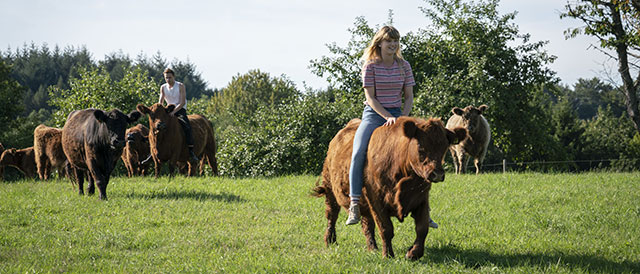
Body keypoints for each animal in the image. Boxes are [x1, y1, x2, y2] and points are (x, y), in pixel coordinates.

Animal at [314, 116, 468, 260]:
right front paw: (388, 255)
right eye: (420, 146)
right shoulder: (376, 199)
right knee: (332, 215)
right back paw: (330, 240)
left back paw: (373, 247)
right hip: (330, 189)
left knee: (367, 224)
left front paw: (413, 253)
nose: (438, 174)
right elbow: (385, 228)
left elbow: (422, 228)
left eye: (444, 147)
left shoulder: (422, 198)